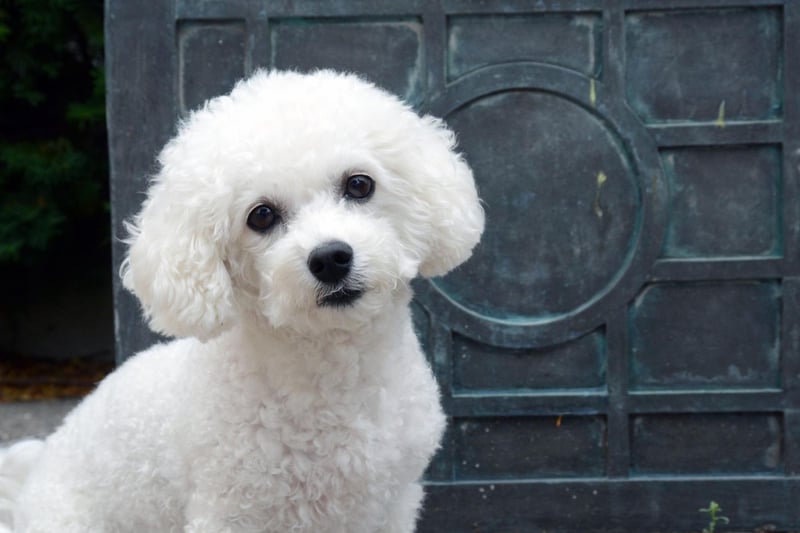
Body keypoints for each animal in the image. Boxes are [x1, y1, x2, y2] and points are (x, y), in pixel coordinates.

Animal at [0, 70, 482, 532]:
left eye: (360, 185)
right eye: (261, 215)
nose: (330, 258)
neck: (332, 378)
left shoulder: (392, 503)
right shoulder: (230, 511)